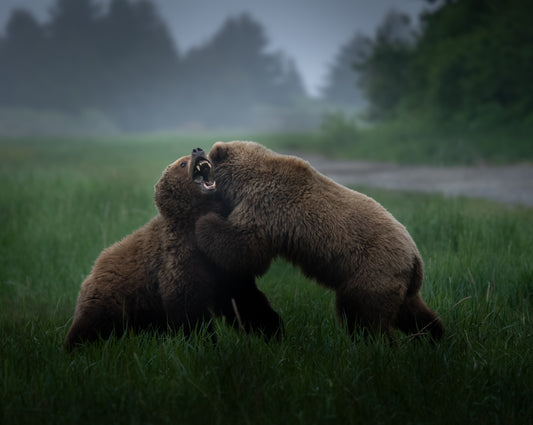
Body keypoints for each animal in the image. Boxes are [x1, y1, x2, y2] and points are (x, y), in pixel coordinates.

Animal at [64, 147, 282, 350]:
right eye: (182, 163)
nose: (197, 150)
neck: (192, 221)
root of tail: (90, 273)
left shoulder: (221, 261)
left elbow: (244, 298)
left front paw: (272, 329)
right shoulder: (177, 258)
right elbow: (189, 307)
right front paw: (204, 342)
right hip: (112, 299)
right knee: (92, 326)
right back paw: (76, 346)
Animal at [195, 142, 444, 342]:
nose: (197, 150)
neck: (245, 178)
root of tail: (415, 258)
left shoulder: (265, 205)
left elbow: (244, 246)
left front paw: (205, 222)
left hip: (372, 270)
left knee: (362, 314)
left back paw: (378, 344)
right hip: (399, 282)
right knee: (412, 313)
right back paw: (435, 336)